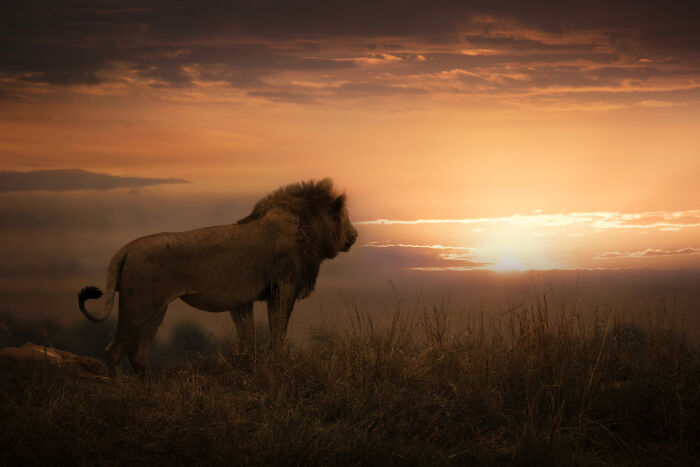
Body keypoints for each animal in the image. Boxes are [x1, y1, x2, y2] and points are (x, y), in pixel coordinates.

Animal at [78, 178, 357, 376]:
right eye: (344, 217)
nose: (354, 236)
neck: (306, 225)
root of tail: (128, 247)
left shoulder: (242, 300)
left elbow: (248, 338)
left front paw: (252, 366)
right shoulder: (283, 288)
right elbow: (278, 331)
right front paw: (280, 364)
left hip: (155, 309)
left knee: (138, 354)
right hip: (139, 305)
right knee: (114, 351)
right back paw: (123, 389)